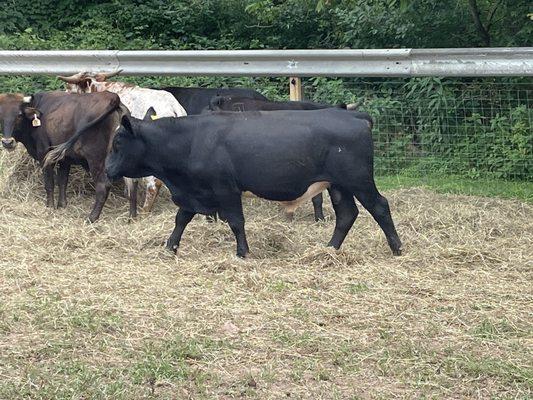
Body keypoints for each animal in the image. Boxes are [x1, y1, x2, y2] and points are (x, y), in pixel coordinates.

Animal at [0, 91, 127, 222]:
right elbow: (62, 182)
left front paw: (50, 206)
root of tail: (112, 97)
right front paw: (62, 205)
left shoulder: (44, 154)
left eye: (19, 115)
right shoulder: (65, 159)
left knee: (103, 186)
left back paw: (91, 218)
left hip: (95, 159)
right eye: (0, 115)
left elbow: (49, 183)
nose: (7, 142)